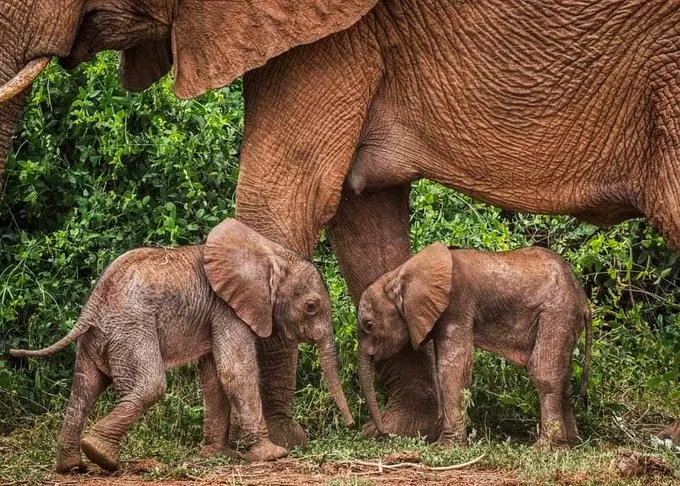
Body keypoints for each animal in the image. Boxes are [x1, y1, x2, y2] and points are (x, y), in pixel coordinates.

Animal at [10, 218, 354, 472]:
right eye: (311, 307)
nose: (351, 425)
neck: (268, 254)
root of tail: (93, 303)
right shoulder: (226, 308)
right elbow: (235, 371)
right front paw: (272, 455)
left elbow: (214, 378)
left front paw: (218, 455)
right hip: (131, 328)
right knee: (148, 385)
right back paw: (101, 456)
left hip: (100, 335)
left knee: (84, 388)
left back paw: (72, 466)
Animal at [362, 243, 588, 448]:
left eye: (368, 325)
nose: (382, 433)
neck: (399, 275)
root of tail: (583, 299)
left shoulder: (456, 306)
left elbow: (452, 371)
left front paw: (445, 447)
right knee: (564, 378)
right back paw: (572, 443)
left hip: (557, 312)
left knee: (544, 373)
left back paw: (545, 448)